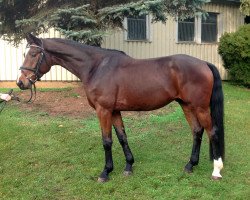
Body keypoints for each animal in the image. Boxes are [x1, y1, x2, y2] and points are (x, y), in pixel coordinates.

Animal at [17, 33, 225, 182]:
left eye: (34, 54)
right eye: (25, 54)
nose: (21, 82)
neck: (96, 67)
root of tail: (204, 63)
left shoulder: (103, 110)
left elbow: (107, 141)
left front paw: (105, 172)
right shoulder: (114, 110)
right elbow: (122, 137)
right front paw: (128, 166)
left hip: (200, 107)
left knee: (212, 132)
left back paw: (216, 171)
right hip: (186, 105)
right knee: (197, 131)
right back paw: (190, 165)